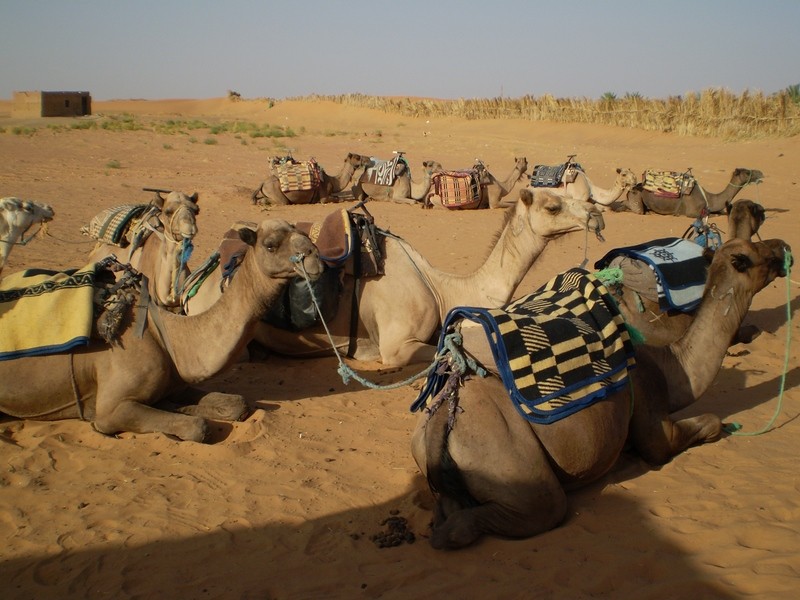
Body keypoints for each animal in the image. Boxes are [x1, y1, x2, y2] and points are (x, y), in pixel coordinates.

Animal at [2, 219, 324, 440]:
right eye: (271, 245)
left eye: (304, 235)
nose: (314, 257)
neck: (168, 336)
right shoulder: (111, 409)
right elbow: (196, 427)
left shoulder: (178, 380)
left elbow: (235, 404)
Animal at [410, 236, 792, 548]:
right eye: (754, 254)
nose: (783, 246)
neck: (672, 367)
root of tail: (444, 418)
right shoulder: (653, 416)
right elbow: (705, 425)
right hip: (512, 467)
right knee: (534, 509)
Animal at [620, 166, 764, 218]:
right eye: (747, 172)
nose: (760, 173)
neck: (709, 198)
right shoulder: (692, 212)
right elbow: (711, 215)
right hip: (636, 197)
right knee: (635, 208)